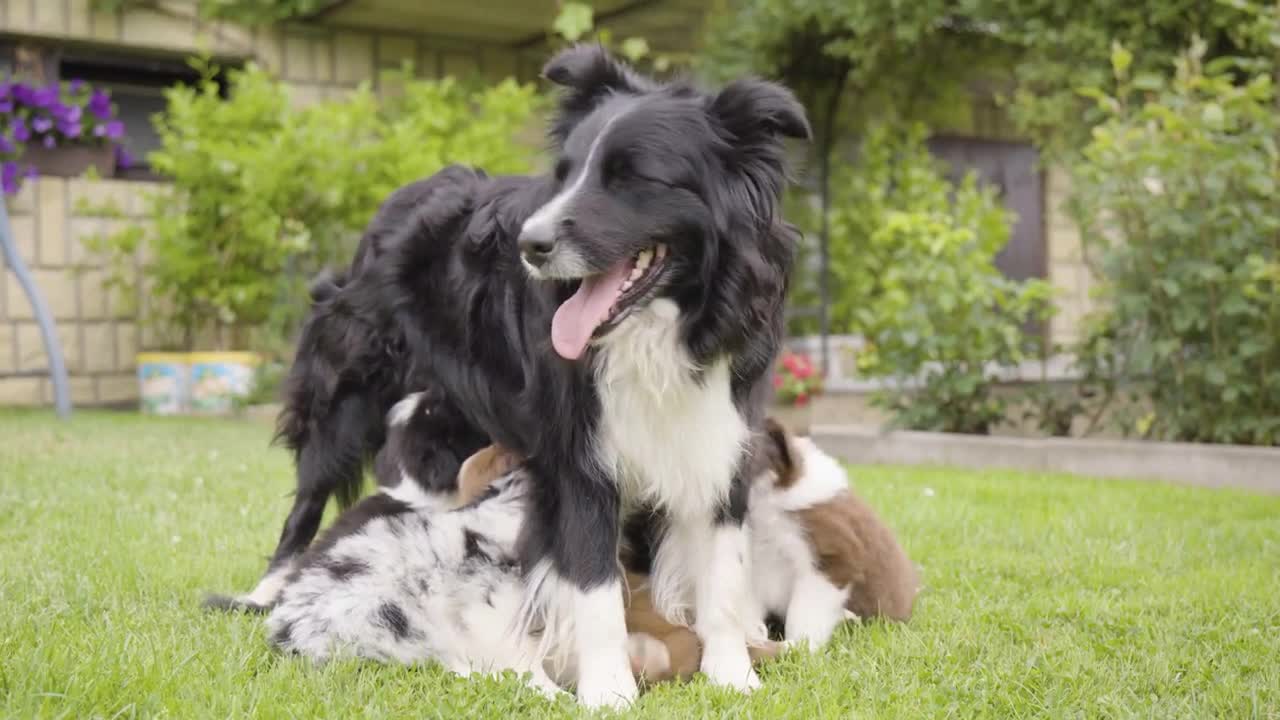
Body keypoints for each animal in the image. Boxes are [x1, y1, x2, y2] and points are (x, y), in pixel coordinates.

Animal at [213, 46, 803, 707]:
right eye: (564, 174)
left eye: (633, 177)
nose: (530, 244)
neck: (662, 328)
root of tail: (403, 195)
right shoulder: (576, 454)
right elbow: (593, 580)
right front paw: (609, 691)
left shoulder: (721, 425)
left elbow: (723, 567)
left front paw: (732, 674)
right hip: (347, 387)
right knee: (309, 495)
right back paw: (268, 591)